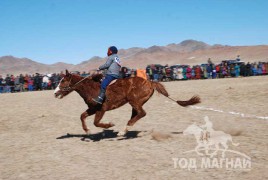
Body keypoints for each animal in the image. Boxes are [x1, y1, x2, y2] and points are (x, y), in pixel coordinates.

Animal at [54, 69, 200, 136]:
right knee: (137, 115)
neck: (90, 88)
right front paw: (87, 131)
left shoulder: (101, 109)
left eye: (63, 81)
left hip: (134, 101)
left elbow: (96, 122)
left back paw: (123, 131)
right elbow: (82, 116)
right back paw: (125, 130)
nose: (55, 93)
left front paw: (109, 125)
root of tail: (150, 82)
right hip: (136, 103)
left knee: (142, 113)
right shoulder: (92, 109)